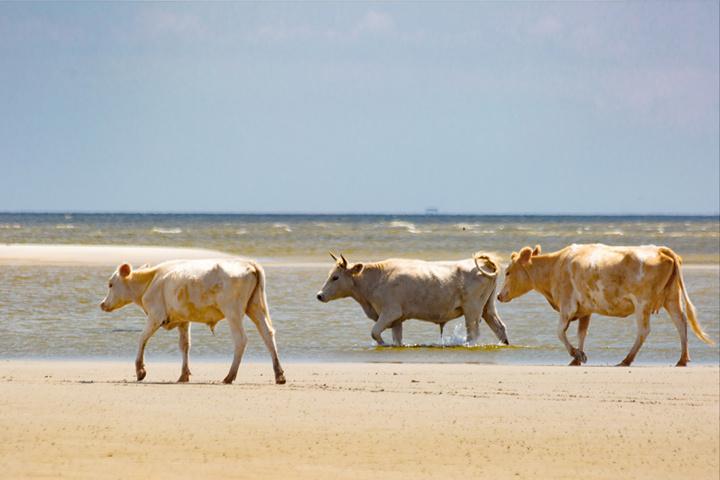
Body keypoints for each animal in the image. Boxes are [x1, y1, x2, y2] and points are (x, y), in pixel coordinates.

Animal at [100, 256, 286, 384]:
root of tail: (248, 263)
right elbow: (185, 345)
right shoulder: (183, 319)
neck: (151, 280)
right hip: (255, 307)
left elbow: (142, 338)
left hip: (233, 311)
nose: (102, 304)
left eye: (110, 284)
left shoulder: (155, 316)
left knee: (241, 339)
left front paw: (140, 370)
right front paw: (183, 375)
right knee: (267, 334)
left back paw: (229, 376)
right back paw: (279, 375)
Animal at [314, 253, 506, 346]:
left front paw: (382, 343)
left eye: (336, 277)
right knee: (500, 327)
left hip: (472, 309)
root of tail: (486, 264)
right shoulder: (397, 319)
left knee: (473, 333)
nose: (319, 295)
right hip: (488, 308)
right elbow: (397, 339)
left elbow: (375, 332)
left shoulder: (390, 312)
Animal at [496, 244, 716, 368]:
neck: (555, 267)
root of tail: (659, 249)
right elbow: (581, 334)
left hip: (642, 304)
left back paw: (626, 360)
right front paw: (578, 357)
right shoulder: (585, 309)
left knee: (644, 331)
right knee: (681, 323)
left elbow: (559, 332)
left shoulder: (567, 306)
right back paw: (682, 359)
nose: (499, 295)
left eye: (507, 272)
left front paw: (576, 354)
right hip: (671, 298)